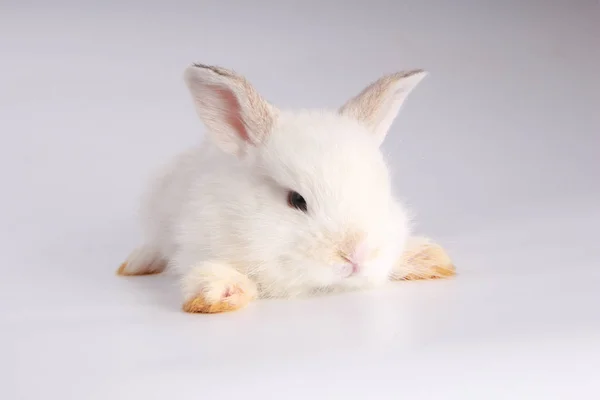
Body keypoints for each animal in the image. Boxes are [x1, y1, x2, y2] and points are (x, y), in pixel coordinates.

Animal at [117, 63, 454, 312]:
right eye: (297, 200)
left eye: (378, 194)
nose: (355, 256)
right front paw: (218, 291)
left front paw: (428, 258)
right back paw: (136, 264)